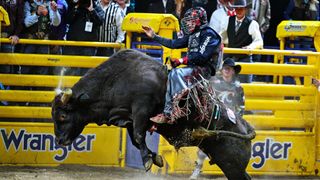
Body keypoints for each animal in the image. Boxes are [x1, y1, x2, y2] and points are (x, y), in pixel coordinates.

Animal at [51, 48, 255, 179]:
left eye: (62, 116)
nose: (60, 140)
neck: (116, 79)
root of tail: (246, 128)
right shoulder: (129, 119)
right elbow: (136, 139)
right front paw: (154, 157)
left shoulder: (142, 108)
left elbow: (139, 136)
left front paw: (148, 161)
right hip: (227, 162)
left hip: (233, 164)